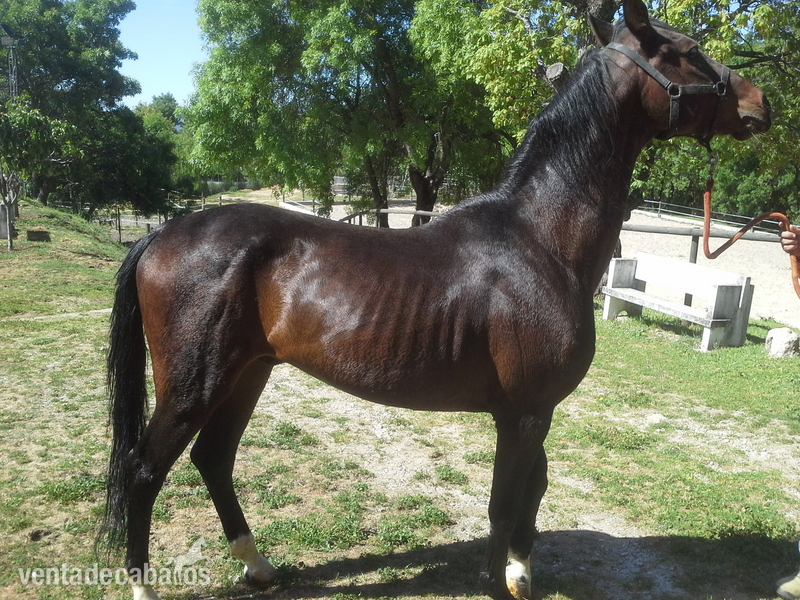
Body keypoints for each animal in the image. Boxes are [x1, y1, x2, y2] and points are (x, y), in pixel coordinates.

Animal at [101, 1, 770, 599]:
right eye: (687, 51)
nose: (759, 103)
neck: (538, 238)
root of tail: (162, 233)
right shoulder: (524, 412)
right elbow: (505, 502)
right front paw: (499, 585)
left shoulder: (534, 409)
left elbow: (534, 491)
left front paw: (521, 575)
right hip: (195, 383)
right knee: (144, 468)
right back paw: (144, 584)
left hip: (248, 372)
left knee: (213, 459)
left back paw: (259, 567)